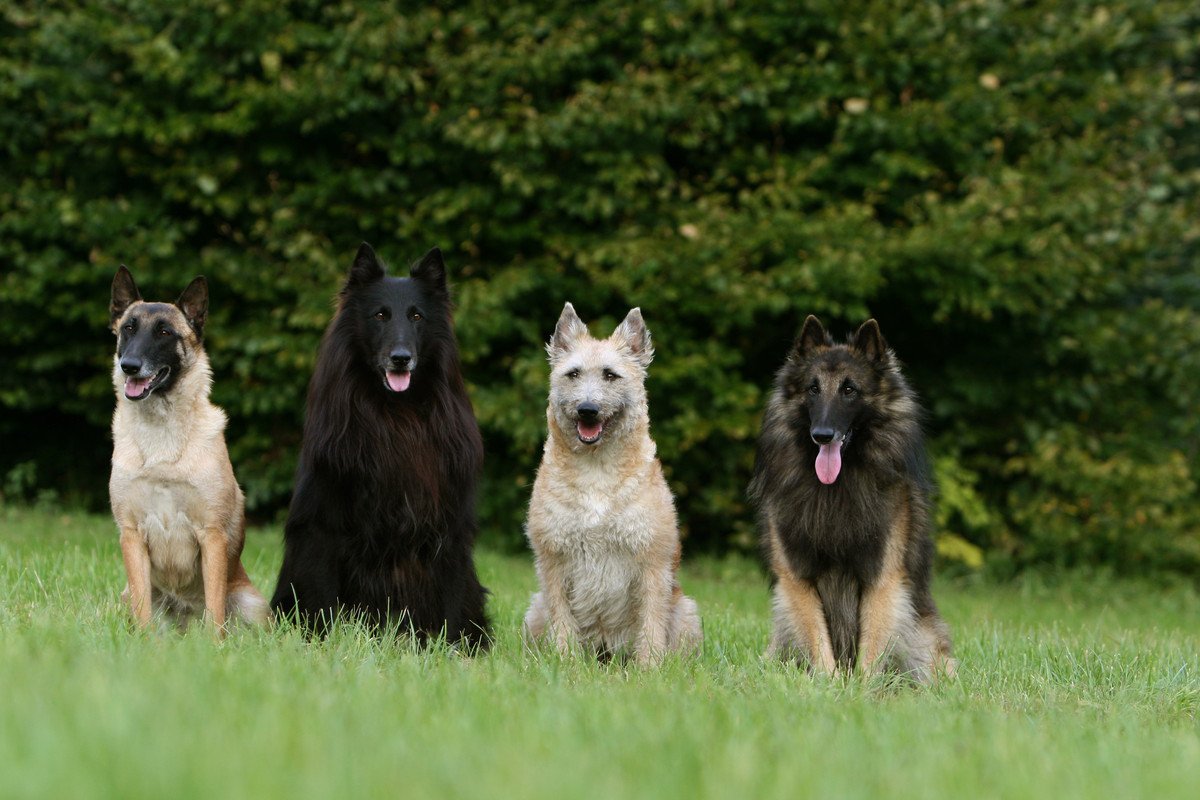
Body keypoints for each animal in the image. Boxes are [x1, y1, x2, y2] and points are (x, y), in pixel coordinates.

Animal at [108, 266, 270, 633]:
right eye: (128, 329)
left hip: (252, 605)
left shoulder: (211, 536)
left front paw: (213, 644)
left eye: (164, 333)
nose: (129, 365)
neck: (162, 437)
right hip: (124, 596)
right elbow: (143, 606)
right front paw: (143, 642)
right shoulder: (131, 535)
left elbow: (214, 607)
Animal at [274, 244, 489, 652]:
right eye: (380, 315)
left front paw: (453, 652)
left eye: (417, 316)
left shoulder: (450, 530)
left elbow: (452, 601)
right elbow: (322, 596)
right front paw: (322, 645)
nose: (401, 357)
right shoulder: (321, 527)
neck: (396, 414)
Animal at [520, 299, 700, 662]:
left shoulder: (651, 562)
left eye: (610, 374)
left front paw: (649, 667)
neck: (596, 468)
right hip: (535, 610)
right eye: (573, 373)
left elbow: (651, 622)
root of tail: (605, 651)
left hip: (687, 612)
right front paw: (565, 662)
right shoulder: (553, 561)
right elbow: (562, 618)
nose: (587, 409)